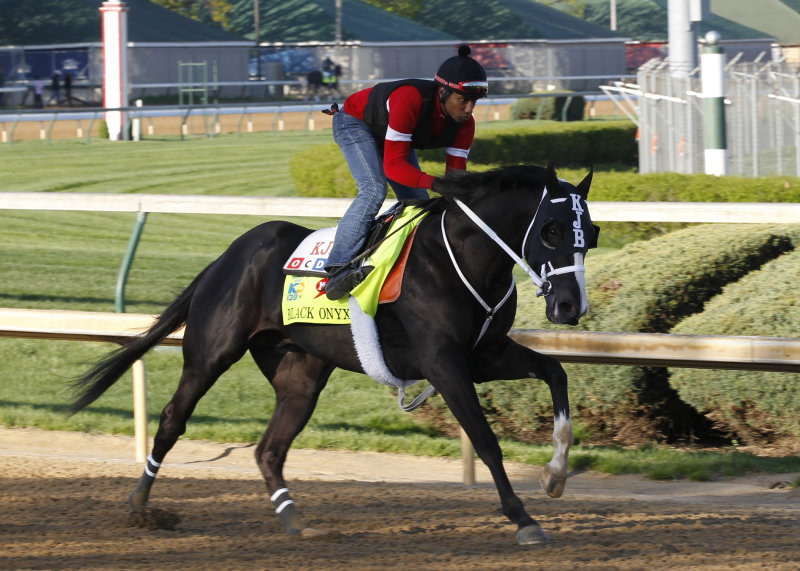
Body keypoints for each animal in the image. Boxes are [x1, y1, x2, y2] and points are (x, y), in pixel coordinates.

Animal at [72, 164, 596, 544]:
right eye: (550, 230)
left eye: (589, 233)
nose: (571, 306)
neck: (461, 260)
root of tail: (228, 255)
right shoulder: (444, 364)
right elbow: (486, 441)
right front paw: (523, 518)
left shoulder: (482, 356)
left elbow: (555, 371)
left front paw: (554, 475)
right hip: (211, 353)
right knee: (172, 419)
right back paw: (140, 505)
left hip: (300, 374)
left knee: (269, 449)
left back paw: (293, 519)